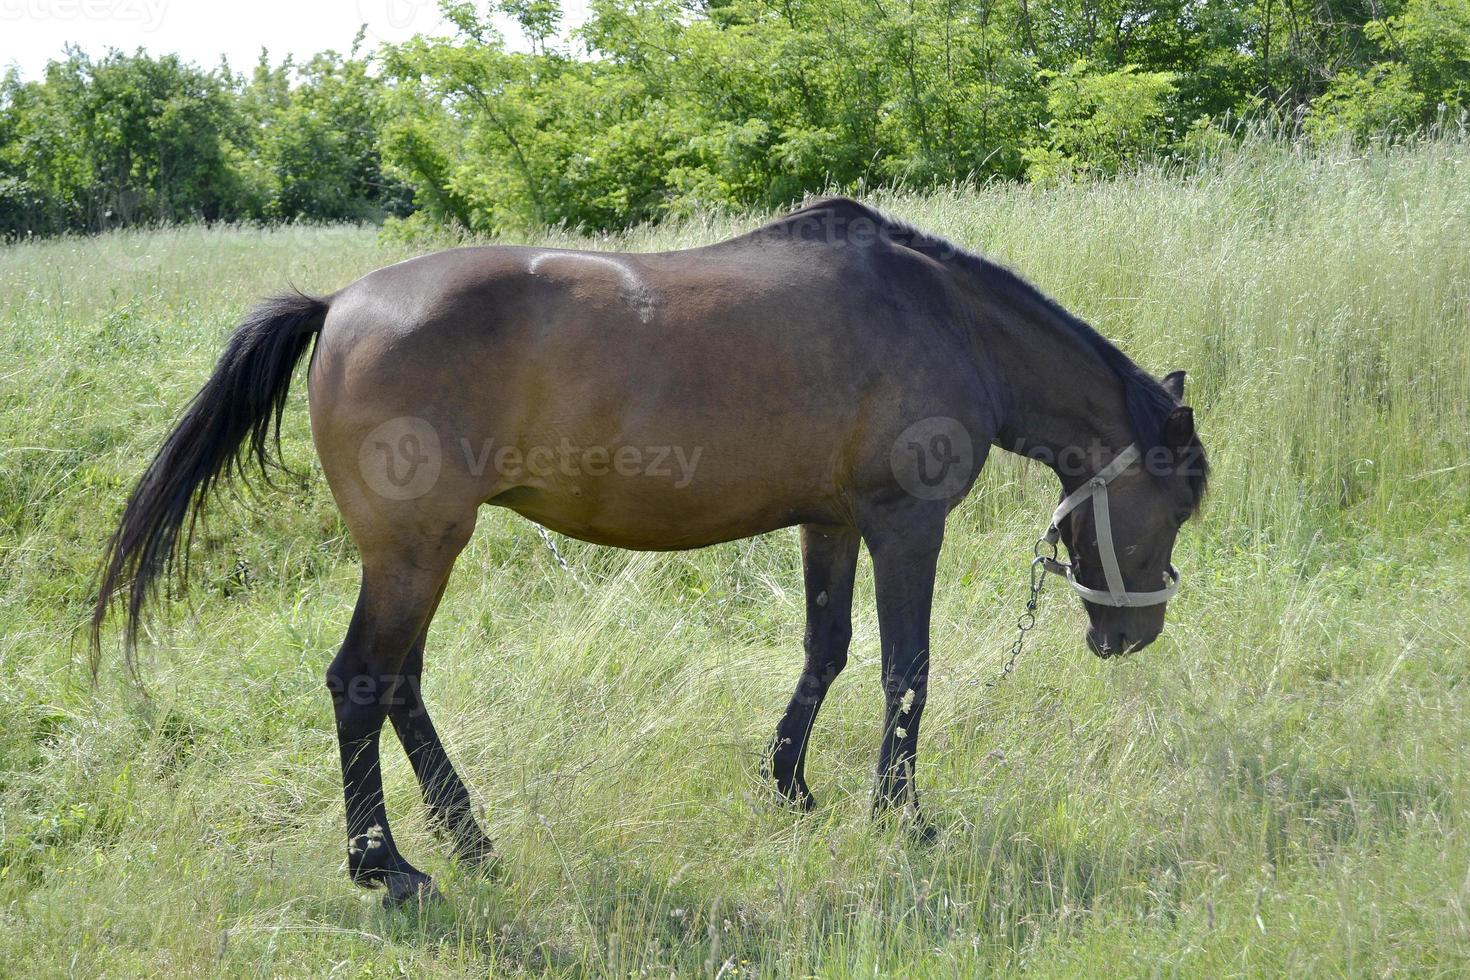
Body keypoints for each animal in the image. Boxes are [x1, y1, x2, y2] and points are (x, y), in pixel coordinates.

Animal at [91, 196, 1205, 905]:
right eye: (1183, 499)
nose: (1132, 636)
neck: (946, 319)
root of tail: (339, 306)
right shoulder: (903, 522)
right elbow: (907, 669)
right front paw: (902, 814)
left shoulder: (833, 521)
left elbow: (828, 650)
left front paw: (790, 782)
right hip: (416, 551)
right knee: (362, 679)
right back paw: (387, 866)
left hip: (419, 554)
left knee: (400, 681)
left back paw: (467, 833)